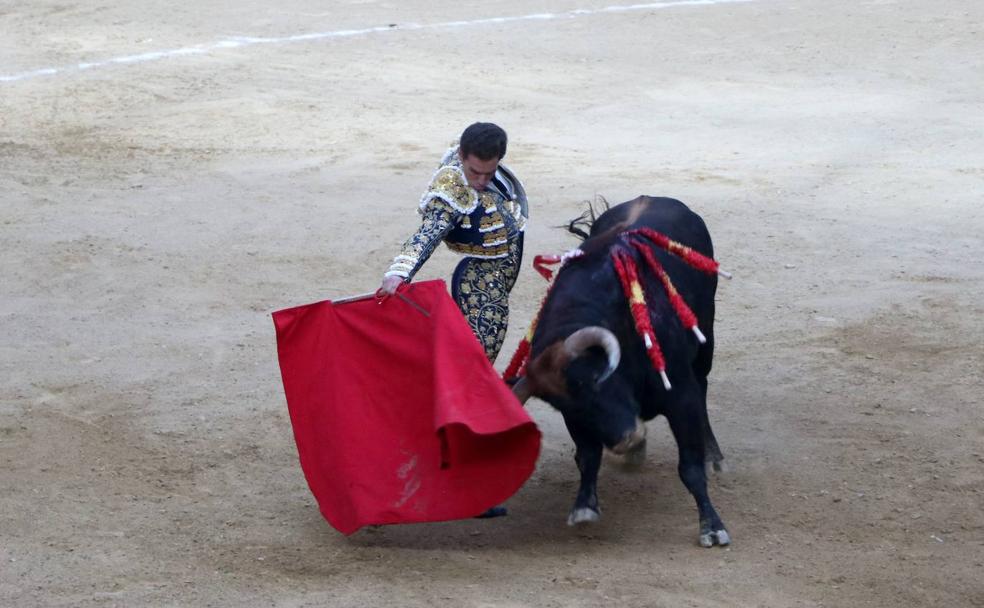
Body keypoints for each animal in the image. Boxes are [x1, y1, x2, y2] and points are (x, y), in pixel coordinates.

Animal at [516, 197, 732, 548]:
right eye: (563, 407)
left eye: (593, 380)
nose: (625, 439)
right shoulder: (581, 424)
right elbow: (588, 456)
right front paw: (584, 506)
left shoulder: (681, 396)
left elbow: (690, 466)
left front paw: (712, 526)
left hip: (705, 339)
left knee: (703, 387)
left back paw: (714, 456)